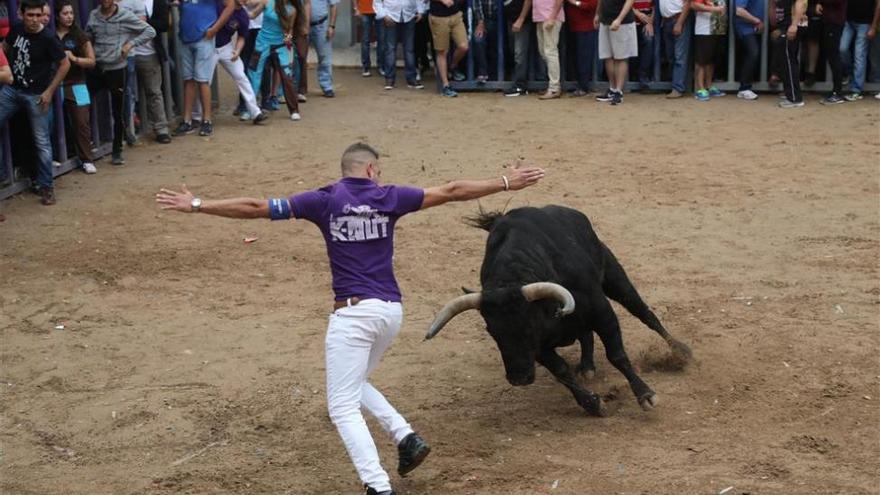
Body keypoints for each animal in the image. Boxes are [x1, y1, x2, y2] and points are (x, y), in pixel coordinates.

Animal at [426, 203, 696, 416]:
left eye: (528, 325)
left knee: (645, 313)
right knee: (586, 335)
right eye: (492, 331)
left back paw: (680, 351)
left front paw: (646, 395)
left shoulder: (602, 313)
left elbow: (617, 355)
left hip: (614, 277)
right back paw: (587, 366)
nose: (519, 378)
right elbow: (562, 371)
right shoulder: (539, 348)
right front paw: (593, 404)